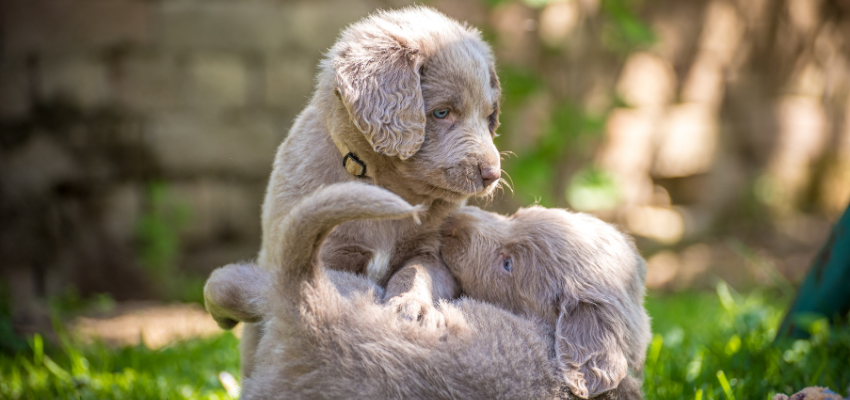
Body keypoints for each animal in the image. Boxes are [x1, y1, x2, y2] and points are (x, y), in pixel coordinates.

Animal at [205, 182, 648, 400]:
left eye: (508, 263)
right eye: (520, 213)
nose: (452, 223)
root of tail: (313, 310)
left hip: (350, 287)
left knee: (249, 282)